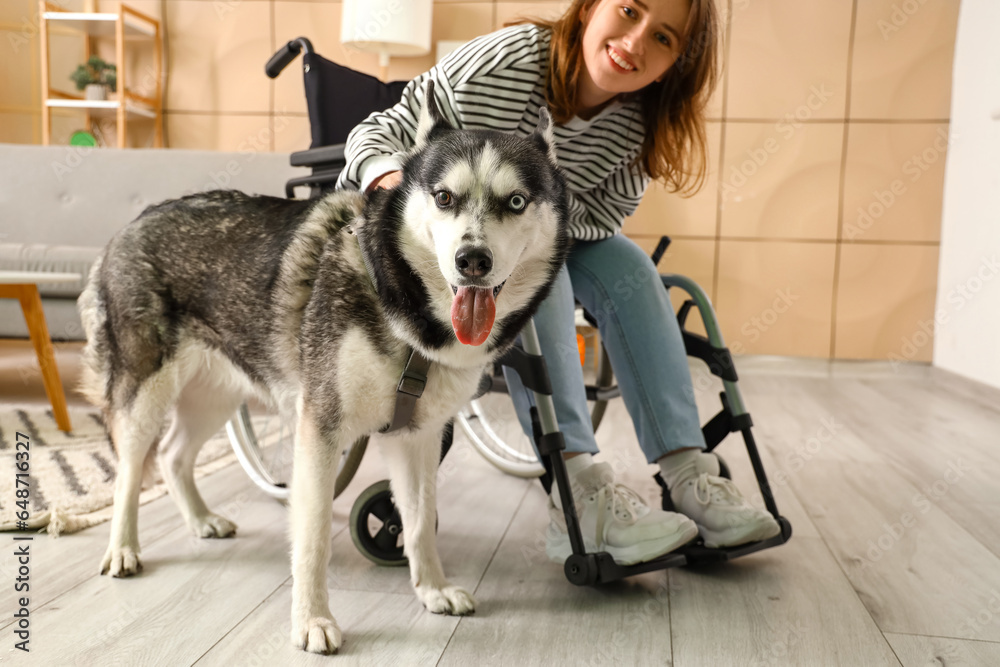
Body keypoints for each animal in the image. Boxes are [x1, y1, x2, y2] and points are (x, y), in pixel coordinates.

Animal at [80, 82, 572, 652]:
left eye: (515, 202)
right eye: (444, 197)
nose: (472, 260)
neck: (400, 304)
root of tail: (130, 224)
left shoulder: (418, 437)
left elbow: (420, 521)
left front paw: (431, 589)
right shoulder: (320, 429)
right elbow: (313, 535)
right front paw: (311, 620)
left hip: (216, 394)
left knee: (174, 453)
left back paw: (201, 519)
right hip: (145, 392)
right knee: (131, 466)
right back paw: (122, 548)